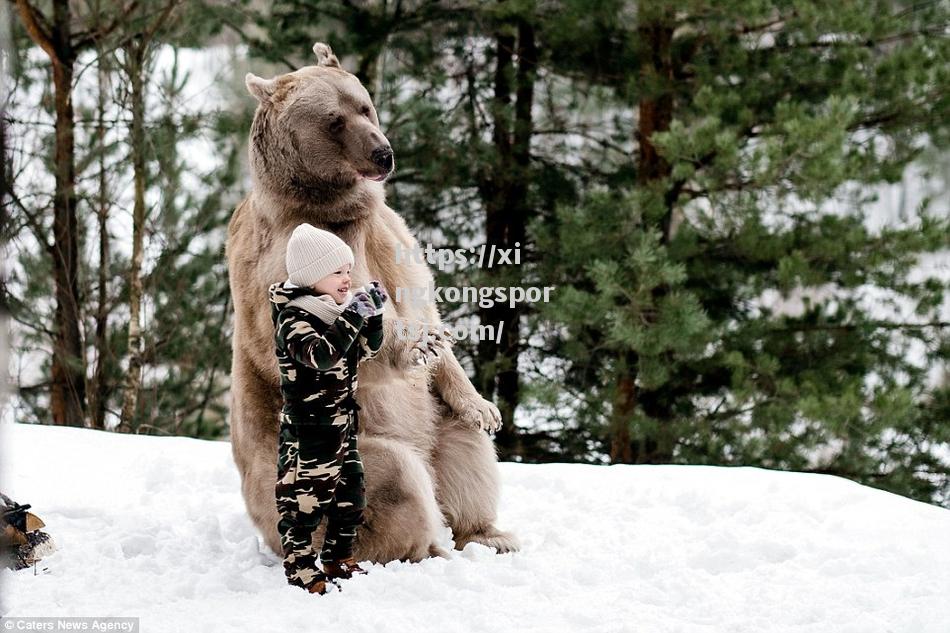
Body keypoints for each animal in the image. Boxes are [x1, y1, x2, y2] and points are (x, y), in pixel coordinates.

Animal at [226, 42, 520, 560]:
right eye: (332, 121)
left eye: (364, 105)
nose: (383, 153)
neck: (336, 207)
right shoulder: (282, 260)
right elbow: (335, 340)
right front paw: (413, 343)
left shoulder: (391, 238)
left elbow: (425, 304)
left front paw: (483, 405)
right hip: (335, 455)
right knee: (394, 479)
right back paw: (428, 547)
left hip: (434, 420)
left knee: (466, 453)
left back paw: (487, 533)